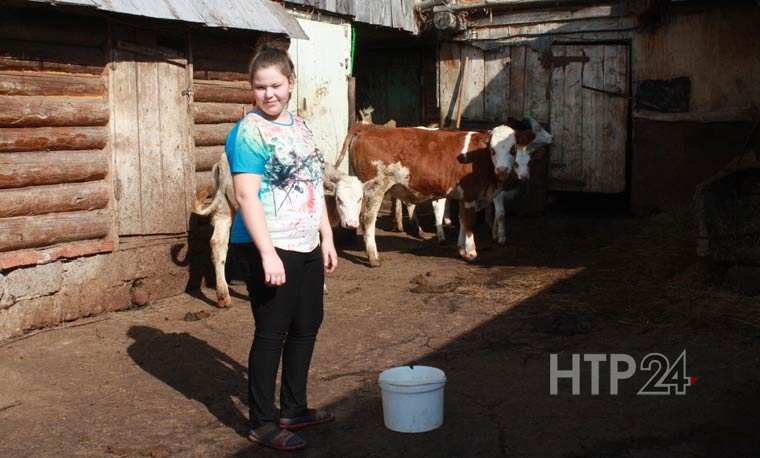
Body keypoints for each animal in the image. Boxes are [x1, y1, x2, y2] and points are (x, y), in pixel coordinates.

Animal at [344, 125, 536, 268]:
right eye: (493, 150)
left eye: (513, 149)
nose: (502, 170)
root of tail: (367, 129)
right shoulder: (470, 195)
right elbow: (469, 223)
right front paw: (471, 253)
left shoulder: (463, 196)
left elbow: (462, 221)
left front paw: (461, 249)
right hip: (375, 188)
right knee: (367, 219)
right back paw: (373, 258)